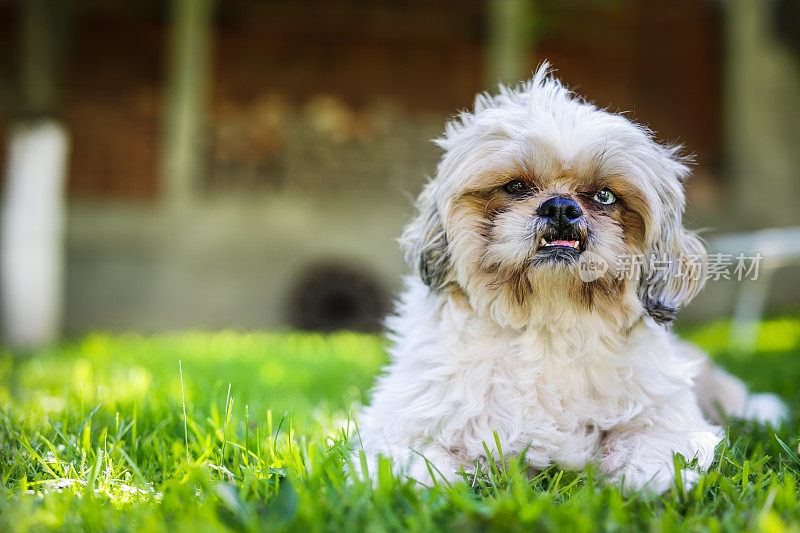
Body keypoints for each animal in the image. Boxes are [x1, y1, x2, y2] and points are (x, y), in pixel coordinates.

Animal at [356, 64, 788, 492]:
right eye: (516, 186)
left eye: (604, 197)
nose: (561, 207)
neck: (549, 322)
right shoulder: (403, 423)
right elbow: (421, 464)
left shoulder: (666, 414)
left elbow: (652, 443)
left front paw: (649, 479)